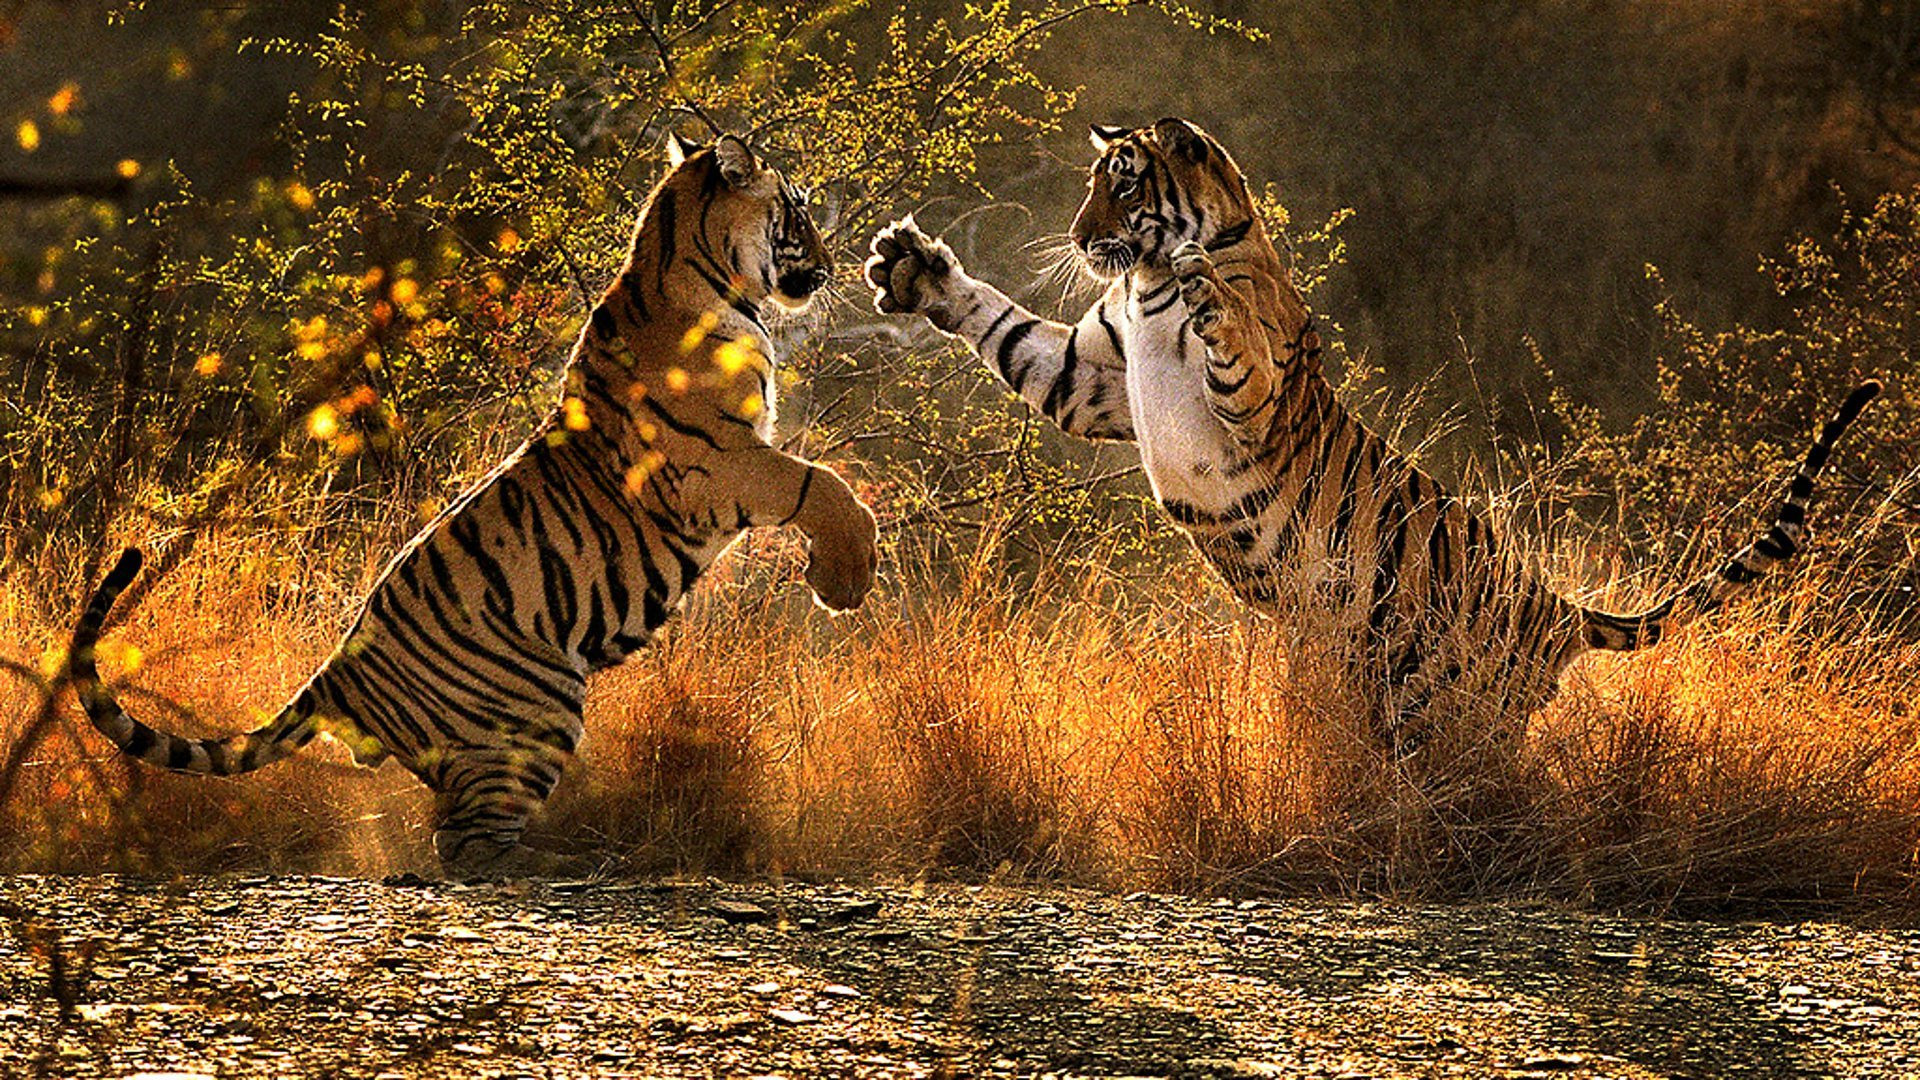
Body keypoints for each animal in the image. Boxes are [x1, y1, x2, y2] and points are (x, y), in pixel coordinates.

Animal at [69, 132, 879, 876]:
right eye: (796, 212)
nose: (833, 267)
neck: (694, 265)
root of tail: (336, 673)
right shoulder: (721, 463)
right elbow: (826, 485)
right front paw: (845, 581)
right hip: (537, 707)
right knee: (464, 846)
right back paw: (555, 866)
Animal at [867, 116, 1878, 751]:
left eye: (1121, 188)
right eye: (1091, 188)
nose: (1081, 237)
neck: (1144, 282)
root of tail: (1554, 605)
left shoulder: (1253, 400)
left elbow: (1234, 340)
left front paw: (1208, 289)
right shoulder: (1093, 380)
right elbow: (1007, 330)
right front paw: (913, 271)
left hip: (1448, 702)